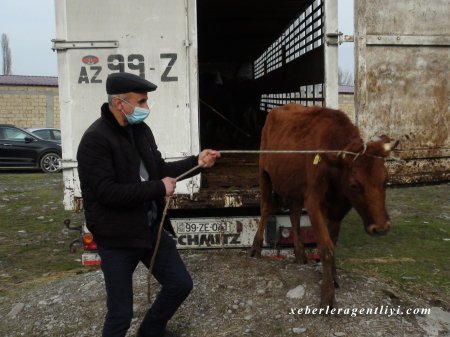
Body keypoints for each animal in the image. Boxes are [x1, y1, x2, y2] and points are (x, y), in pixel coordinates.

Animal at [250, 103, 398, 308]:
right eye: (354, 185)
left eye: (386, 180)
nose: (381, 228)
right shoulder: (314, 202)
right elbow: (326, 248)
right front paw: (327, 296)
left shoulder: (338, 209)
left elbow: (333, 243)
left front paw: (334, 279)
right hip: (264, 173)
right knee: (265, 208)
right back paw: (256, 248)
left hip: (295, 187)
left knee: (294, 215)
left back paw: (299, 253)